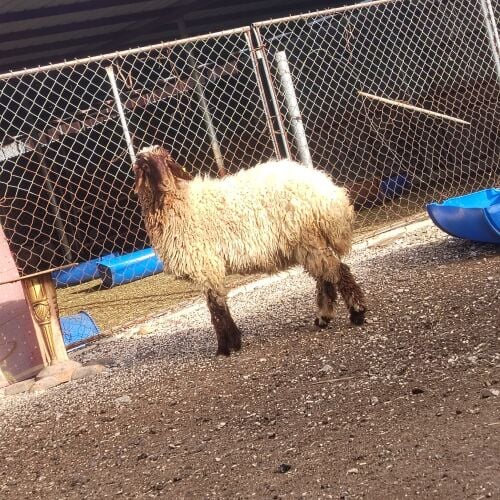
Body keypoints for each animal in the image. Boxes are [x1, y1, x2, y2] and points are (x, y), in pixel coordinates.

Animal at [133, 145, 366, 356]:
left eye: (167, 159)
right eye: (145, 166)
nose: (165, 184)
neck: (178, 201)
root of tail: (328, 193)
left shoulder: (206, 264)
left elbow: (216, 309)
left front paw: (225, 348)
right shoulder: (208, 267)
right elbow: (219, 305)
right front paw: (232, 342)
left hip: (307, 238)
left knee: (338, 272)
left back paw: (357, 313)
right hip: (308, 243)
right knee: (326, 277)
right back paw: (323, 318)